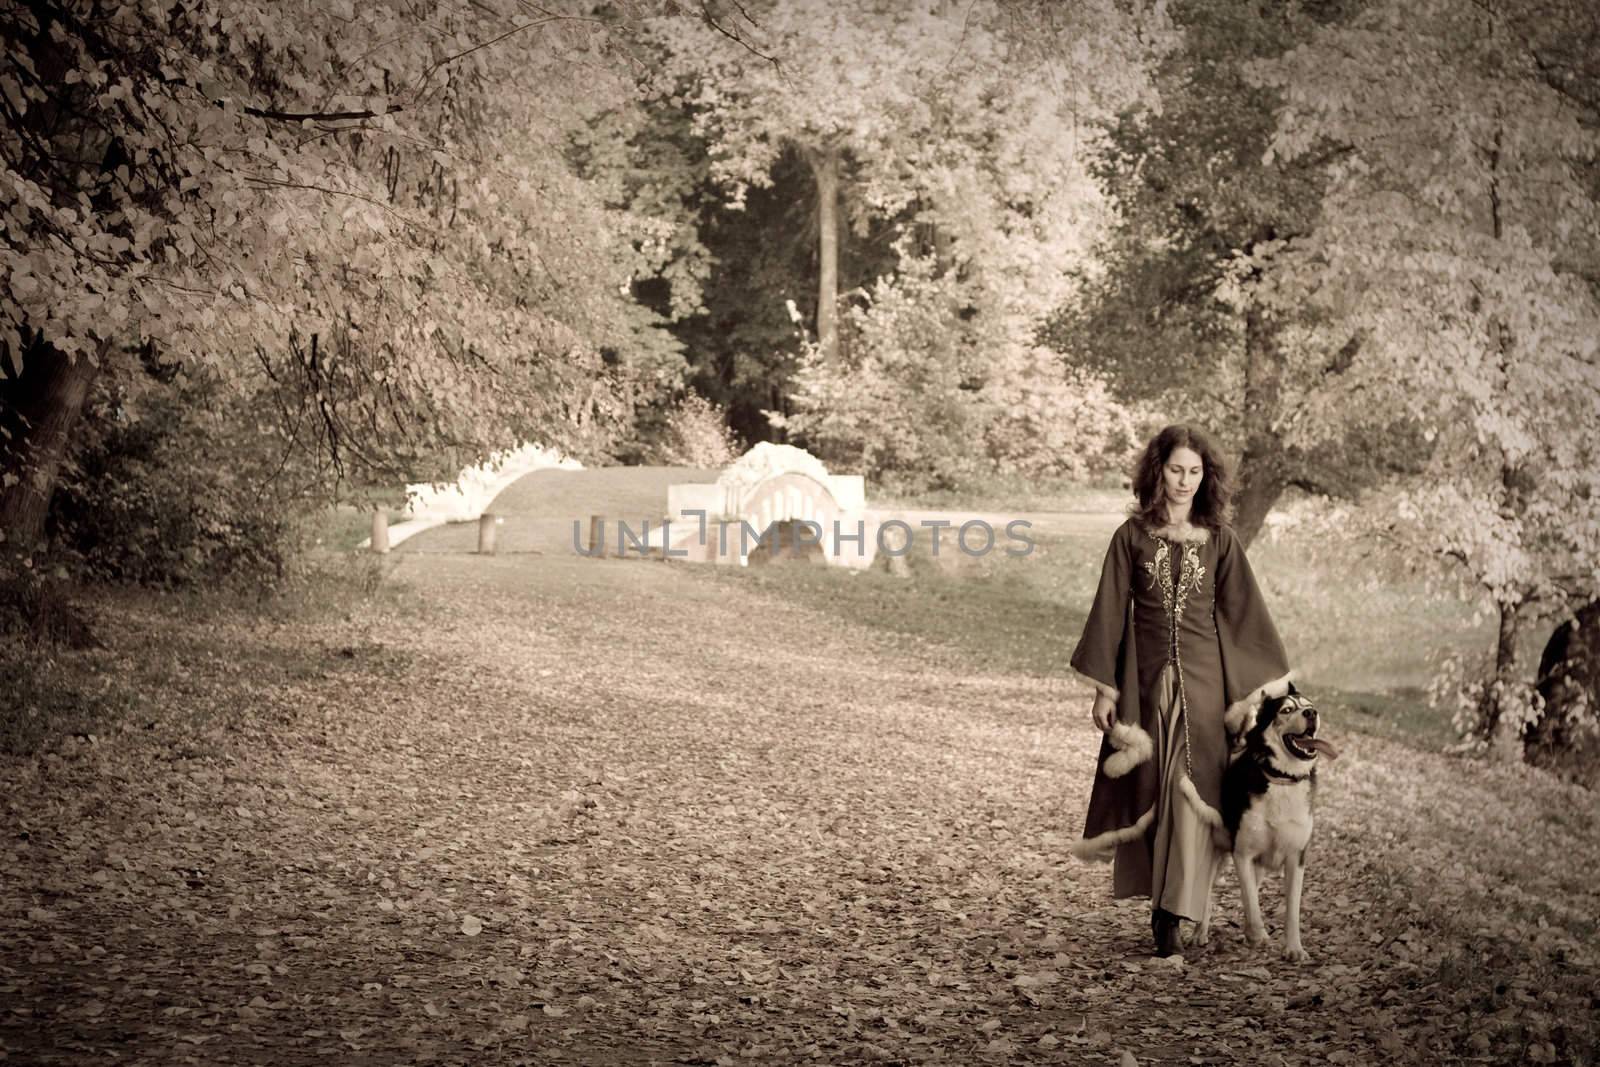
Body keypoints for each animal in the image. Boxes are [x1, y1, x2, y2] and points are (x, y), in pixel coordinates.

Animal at [1203, 687, 1337, 966]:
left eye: (1309, 705)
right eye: (1287, 710)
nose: (1311, 713)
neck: (1282, 778)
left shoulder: (1296, 857)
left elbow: (1291, 910)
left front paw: (1294, 948)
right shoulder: (1242, 854)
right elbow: (1250, 900)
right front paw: (1258, 934)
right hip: (1218, 853)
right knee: (1207, 893)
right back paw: (1199, 933)